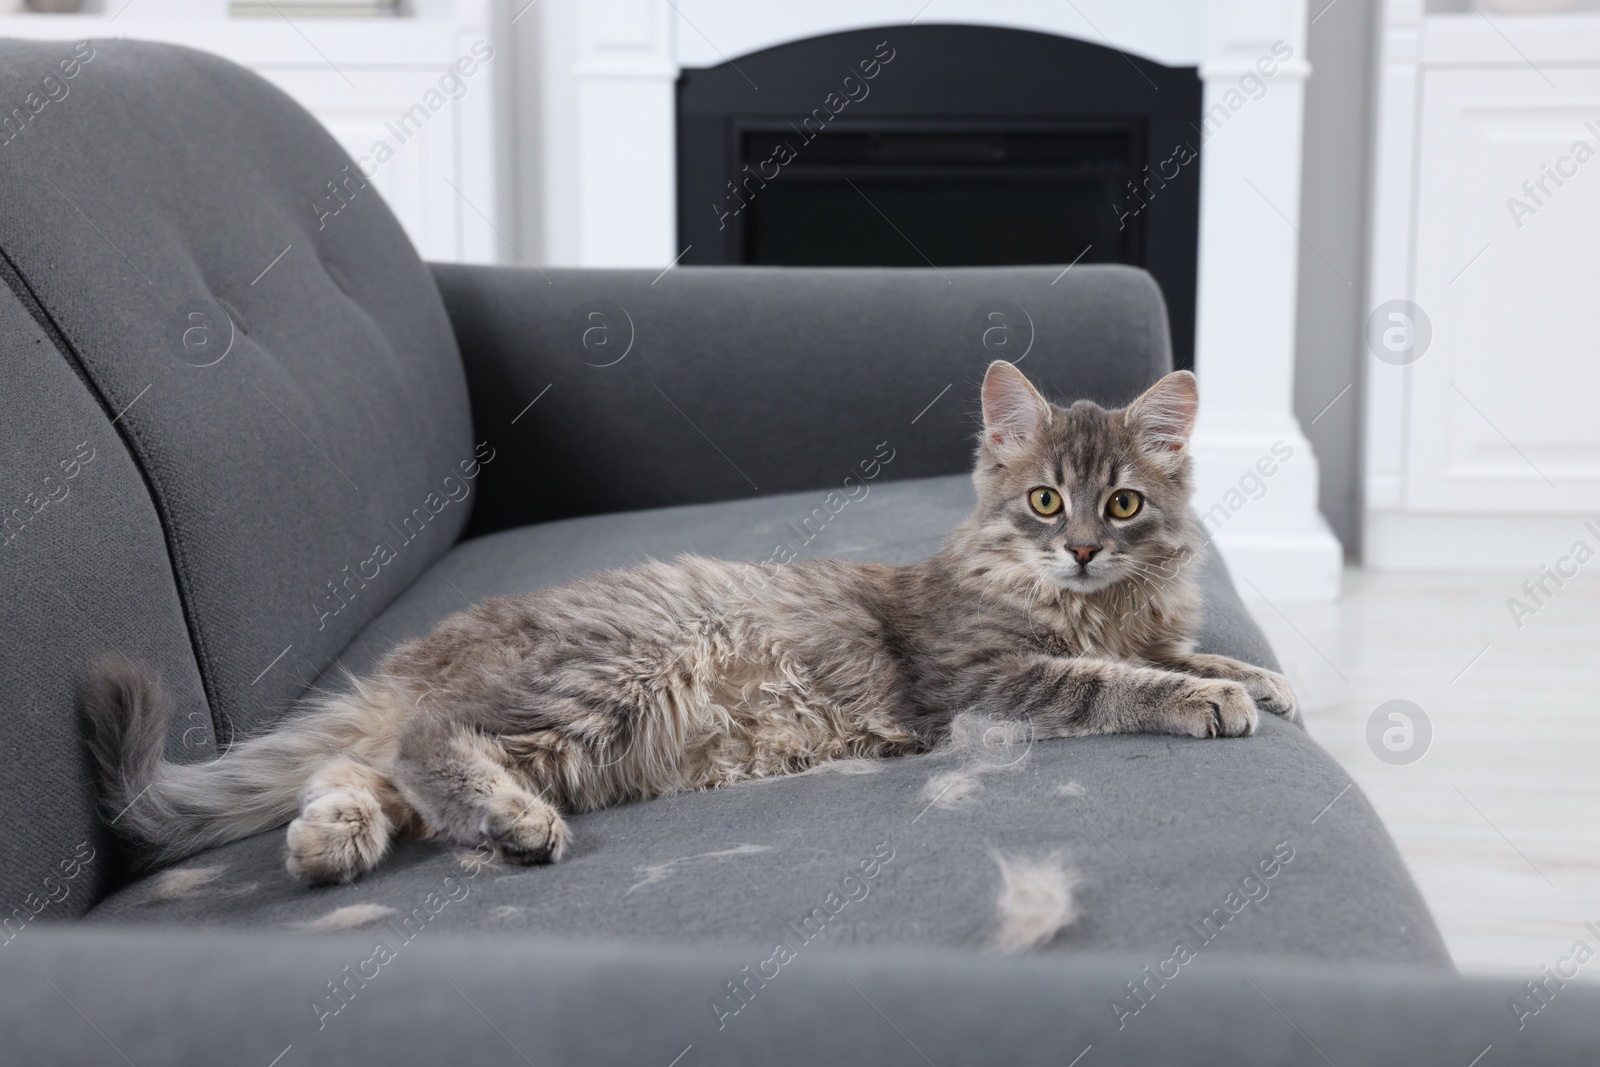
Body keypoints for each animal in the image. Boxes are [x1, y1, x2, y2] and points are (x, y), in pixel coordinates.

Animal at [84, 363, 1286, 889]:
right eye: (1044, 502)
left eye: (1120, 505)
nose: (1078, 548)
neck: (1091, 602)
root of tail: (429, 647)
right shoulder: (983, 679)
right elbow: (1116, 679)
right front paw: (1215, 695)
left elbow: (1174, 646)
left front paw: (1257, 675)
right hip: (600, 684)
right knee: (426, 743)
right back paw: (515, 827)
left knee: (363, 770)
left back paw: (330, 844)